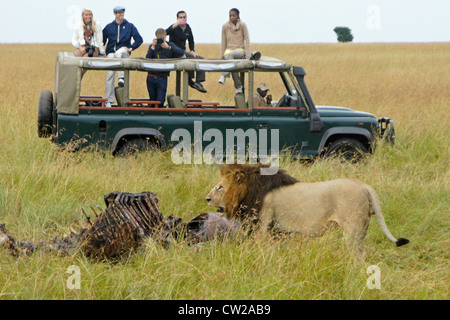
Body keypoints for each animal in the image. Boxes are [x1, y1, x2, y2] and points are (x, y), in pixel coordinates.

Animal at [206, 164, 410, 258]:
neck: (250, 191)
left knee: (358, 255)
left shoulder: (263, 225)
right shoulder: (278, 231)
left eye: (219, 187)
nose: (206, 198)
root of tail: (365, 186)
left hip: (353, 228)